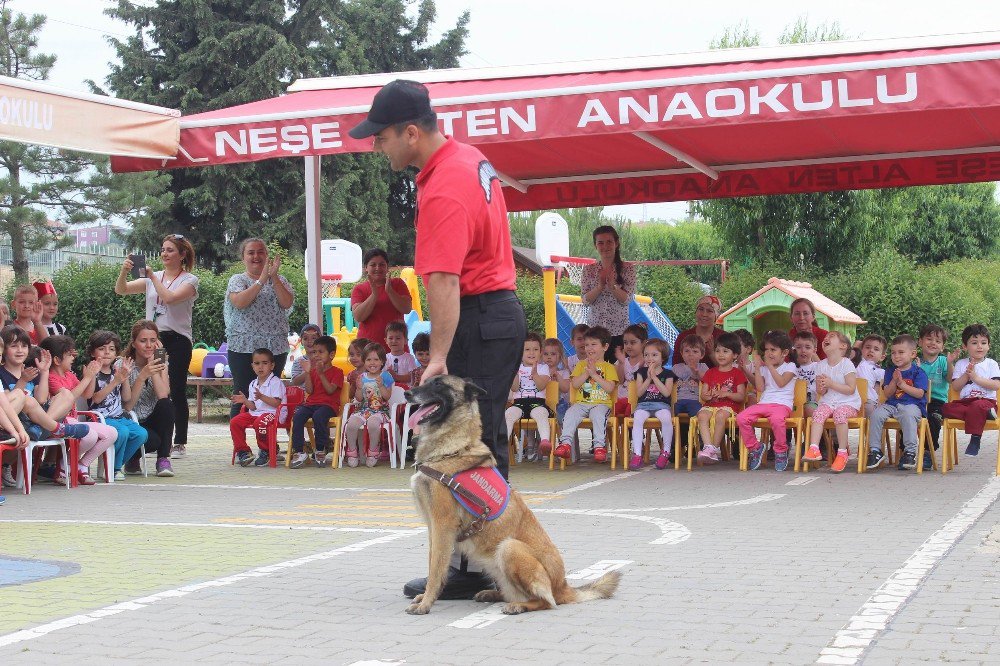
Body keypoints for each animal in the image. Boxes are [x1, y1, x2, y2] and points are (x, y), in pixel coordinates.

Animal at [402, 374, 620, 612]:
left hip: (509, 547)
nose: (407, 393)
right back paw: (492, 594)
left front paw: (426, 603)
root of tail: (563, 586)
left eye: (439, 384)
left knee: (546, 602)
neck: (453, 450)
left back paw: (518, 606)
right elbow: (433, 561)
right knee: (512, 593)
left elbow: (436, 568)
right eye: (428, 380)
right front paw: (425, 597)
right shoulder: (433, 527)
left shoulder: (442, 525)